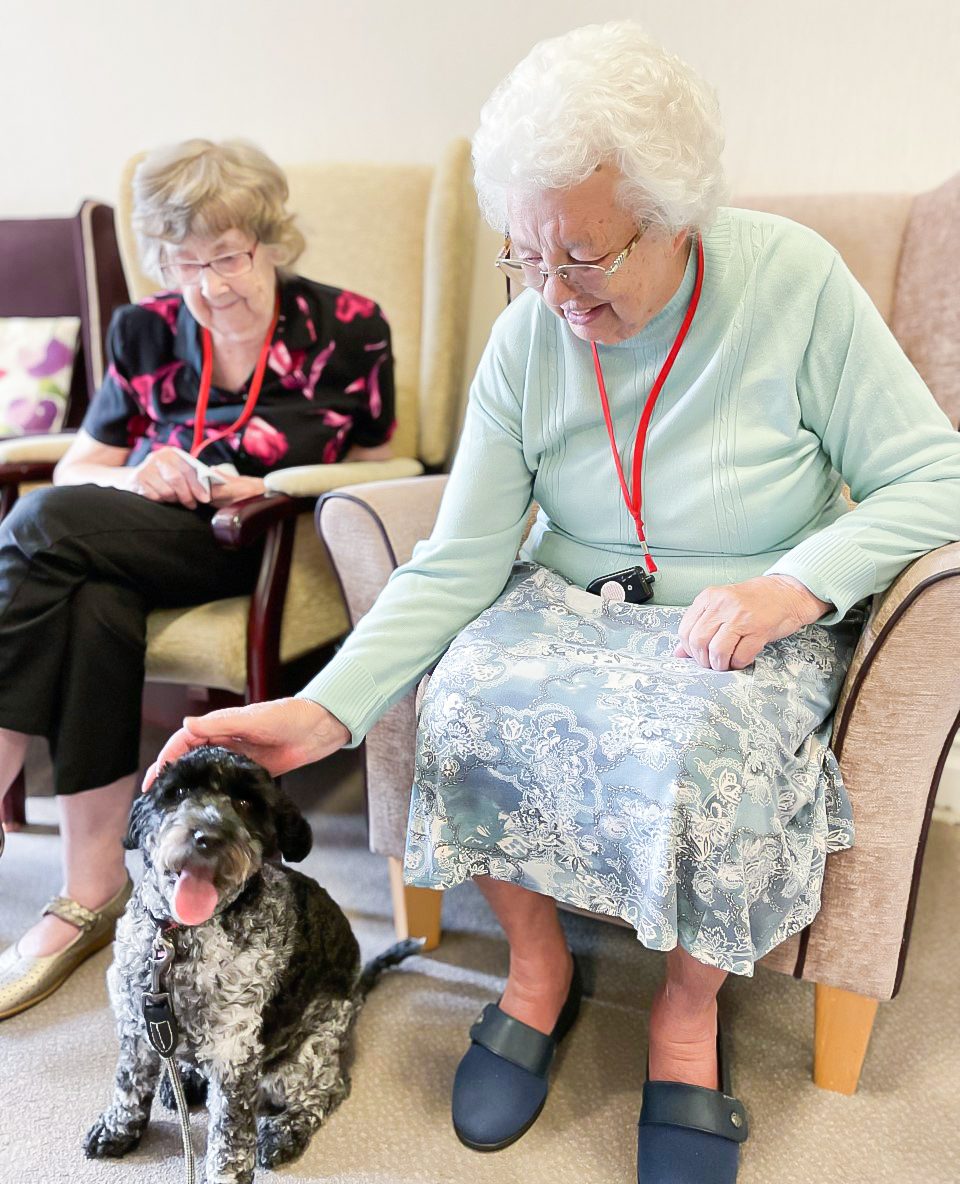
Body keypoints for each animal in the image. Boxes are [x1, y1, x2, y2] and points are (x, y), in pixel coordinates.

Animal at [82, 743, 411, 1179]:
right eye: (177, 792)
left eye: (245, 803)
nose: (207, 837)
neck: (180, 940)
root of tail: (357, 991)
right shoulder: (137, 1027)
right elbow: (129, 1085)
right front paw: (118, 1130)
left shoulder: (234, 1054)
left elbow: (229, 1136)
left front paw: (226, 1173)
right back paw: (183, 1078)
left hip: (304, 1057)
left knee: (330, 1088)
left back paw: (285, 1131)